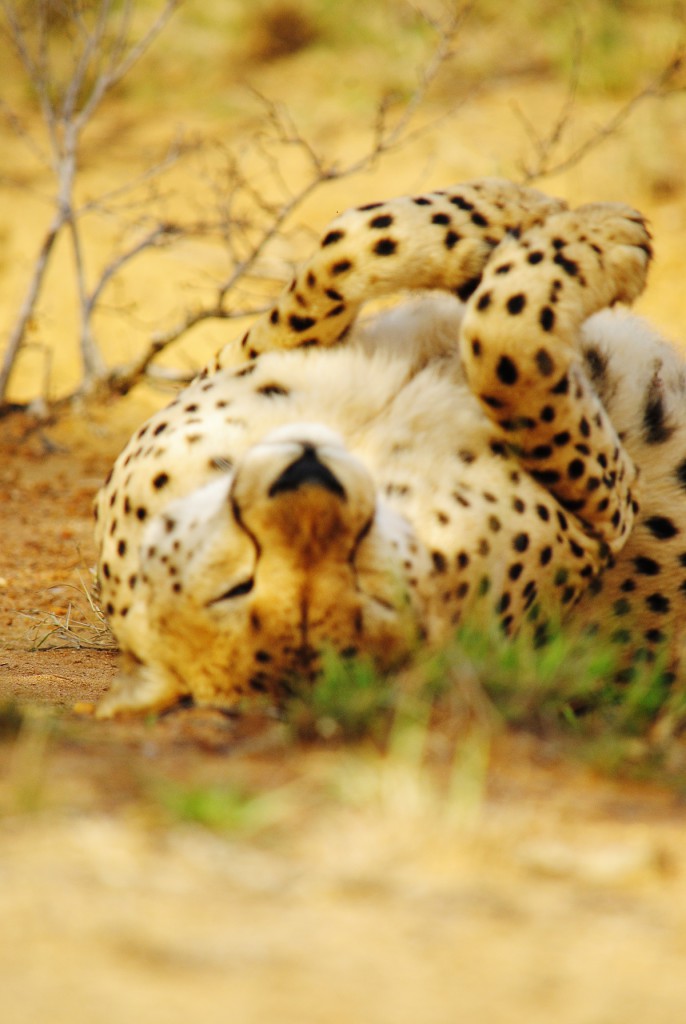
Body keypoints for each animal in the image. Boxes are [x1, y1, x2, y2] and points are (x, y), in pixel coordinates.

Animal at [94, 178, 686, 720]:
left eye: (234, 587)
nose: (308, 478)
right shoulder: (604, 518)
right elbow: (504, 346)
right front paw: (603, 245)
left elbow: (347, 244)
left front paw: (509, 212)